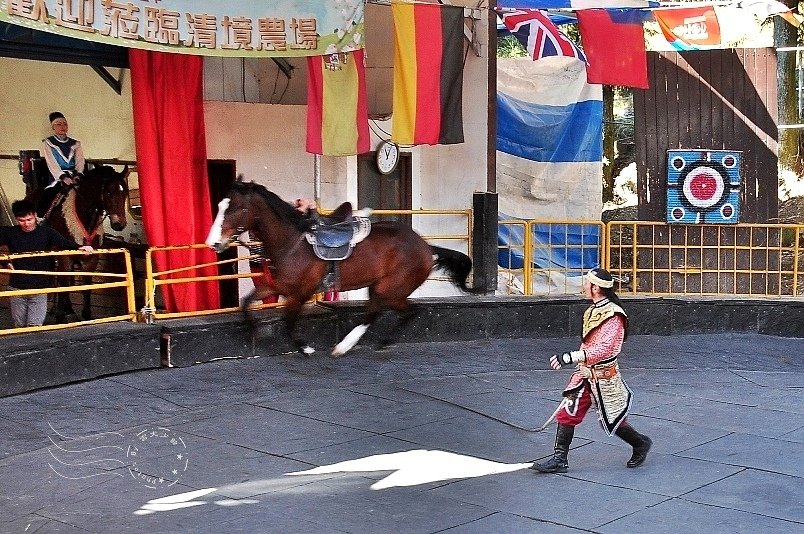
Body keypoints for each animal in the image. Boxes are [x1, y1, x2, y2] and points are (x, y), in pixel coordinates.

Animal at [26, 165, 131, 320]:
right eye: (108, 192)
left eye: (125, 193)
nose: (119, 224)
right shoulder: (65, 258)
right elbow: (65, 284)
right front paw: (60, 314)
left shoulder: (90, 259)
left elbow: (86, 286)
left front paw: (86, 314)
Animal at [204, 181, 474, 360]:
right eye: (220, 206)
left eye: (235, 208)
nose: (214, 243)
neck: (291, 243)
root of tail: (426, 248)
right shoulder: (276, 286)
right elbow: (246, 303)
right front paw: (257, 332)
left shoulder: (299, 293)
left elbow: (288, 322)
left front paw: (306, 348)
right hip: (381, 288)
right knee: (385, 313)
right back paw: (357, 345)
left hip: (389, 288)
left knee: (398, 312)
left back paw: (353, 345)